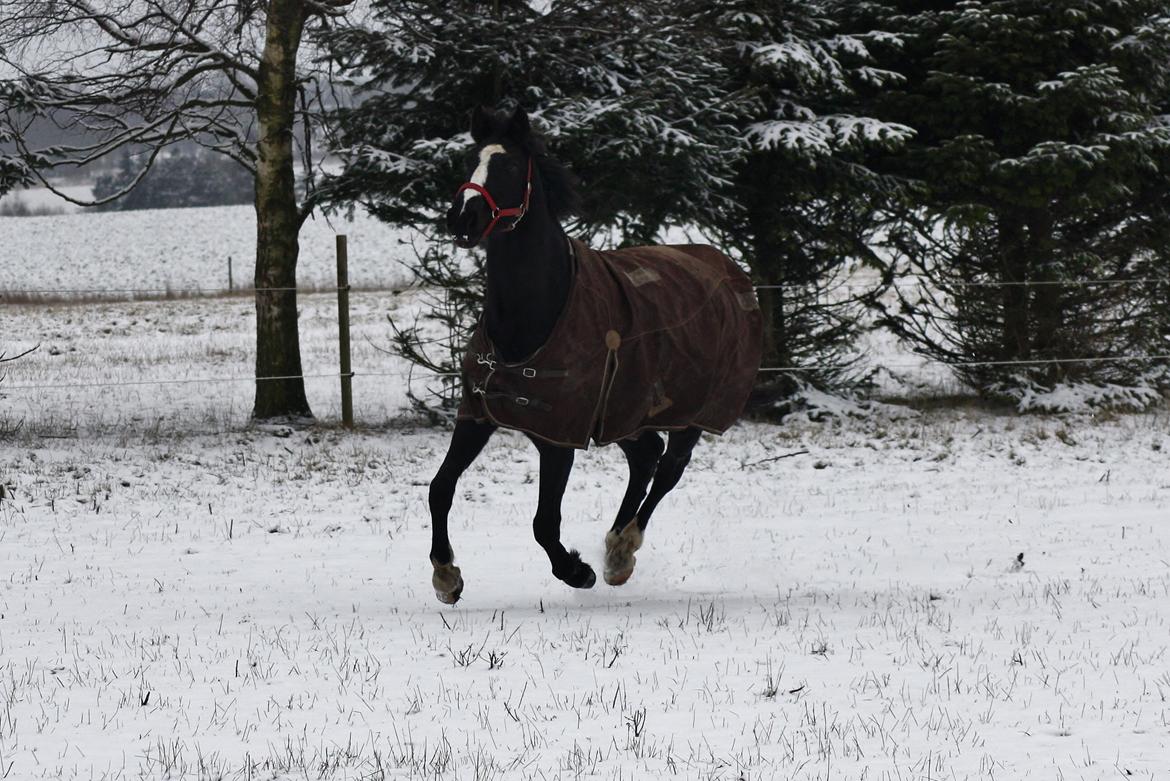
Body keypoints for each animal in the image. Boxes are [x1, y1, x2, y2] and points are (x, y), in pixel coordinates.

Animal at [430, 105, 767, 603]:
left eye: (508, 166)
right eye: (470, 160)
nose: (462, 219)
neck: (535, 313)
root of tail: (730, 271)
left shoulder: (559, 438)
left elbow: (544, 523)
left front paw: (577, 571)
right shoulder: (478, 415)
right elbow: (440, 488)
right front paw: (446, 576)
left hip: (693, 414)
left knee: (669, 468)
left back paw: (621, 553)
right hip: (625, 411)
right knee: (646, 455)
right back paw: (615, 547)